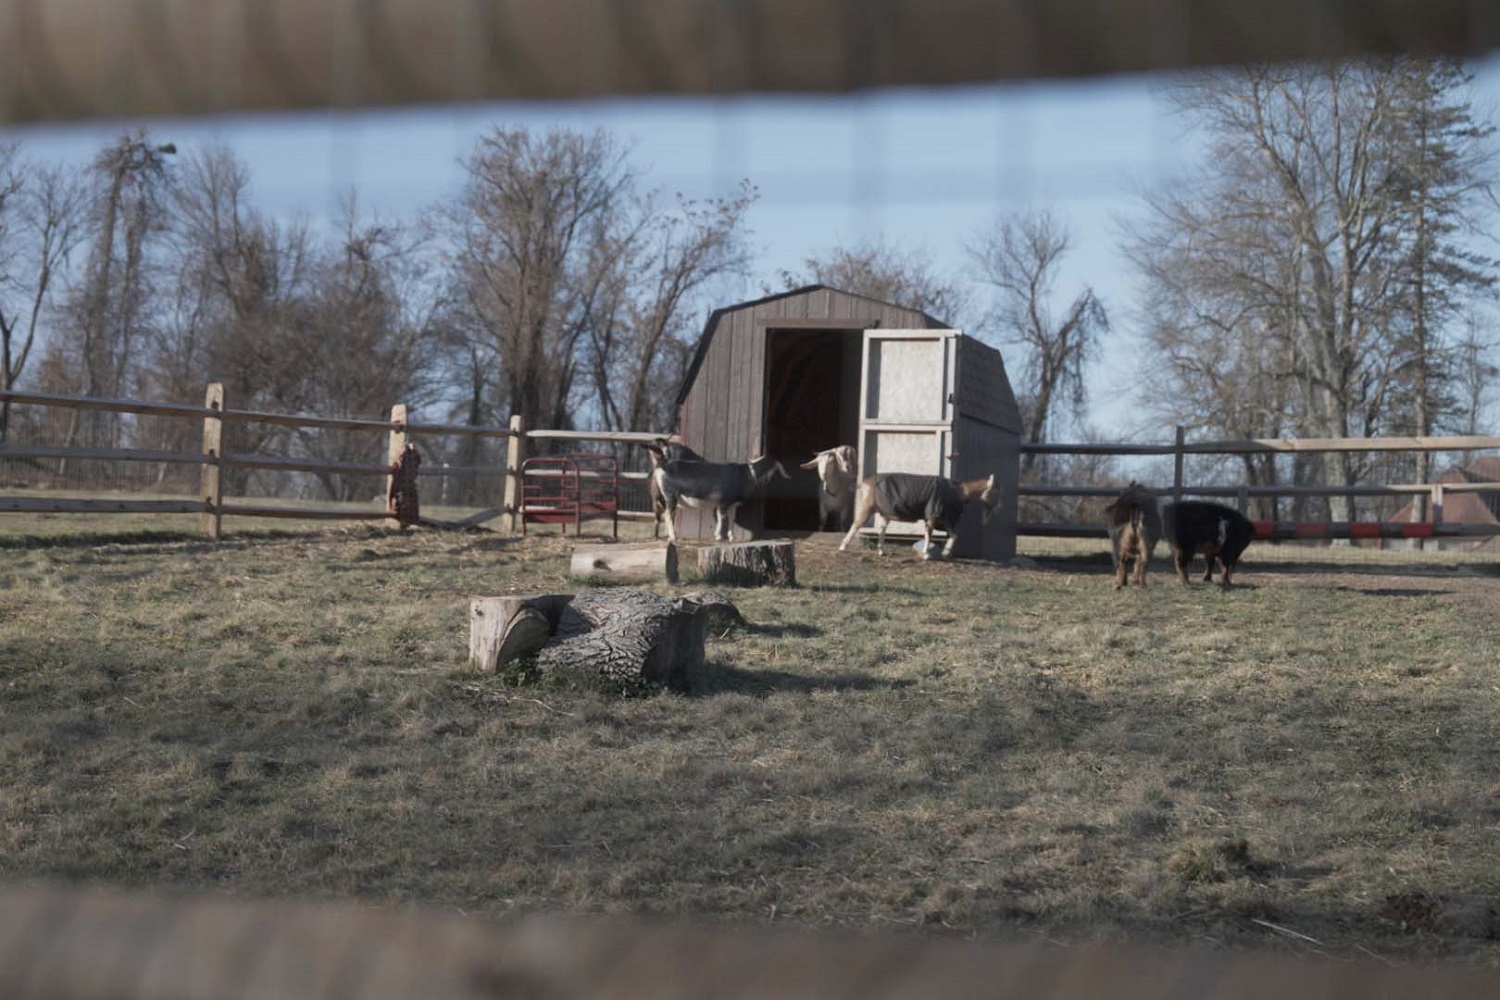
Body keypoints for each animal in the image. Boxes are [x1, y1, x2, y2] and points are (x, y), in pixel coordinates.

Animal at [642, 443, 792, 542]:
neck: (747, 473)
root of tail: (663, 465)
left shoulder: (732, 504)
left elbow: (731, 519)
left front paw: (731, 538)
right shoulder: (723, 501)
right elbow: (722, 518)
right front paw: (719, 537)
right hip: (670, 495)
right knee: (667, 514)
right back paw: (673, 538)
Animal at [840, 473, 1002, 560]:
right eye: (995, 492)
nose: (999, 509)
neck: (958, 491)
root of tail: (864, 483)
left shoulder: (944, 518)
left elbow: (954, 535)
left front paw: (945, 552)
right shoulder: (932, 514)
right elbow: (928, 534)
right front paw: (926, 554)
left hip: (885, 511)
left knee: (881, 528)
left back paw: (881, 551)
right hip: (867, 507)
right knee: (857, 524)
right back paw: (843, 547)